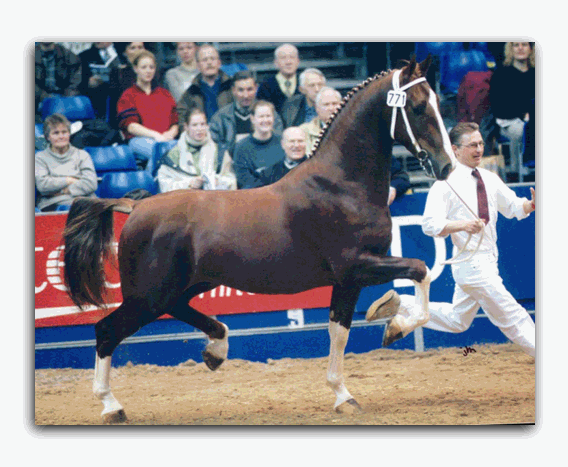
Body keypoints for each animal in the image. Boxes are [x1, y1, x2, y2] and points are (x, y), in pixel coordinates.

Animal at [62, 55, 454, 424]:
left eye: (437, 102)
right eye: (418, 107)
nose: (446, 166)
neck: (341, 183)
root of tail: (135, 205)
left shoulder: (348, 280)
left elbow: (338, 331)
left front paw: (344, 395)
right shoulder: (357, 266)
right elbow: (421, 270)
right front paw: (395, 328)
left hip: (184, 286)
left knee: (176, 310)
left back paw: (216, 350)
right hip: (149, 294)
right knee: (106, 330)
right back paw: (111, 406)